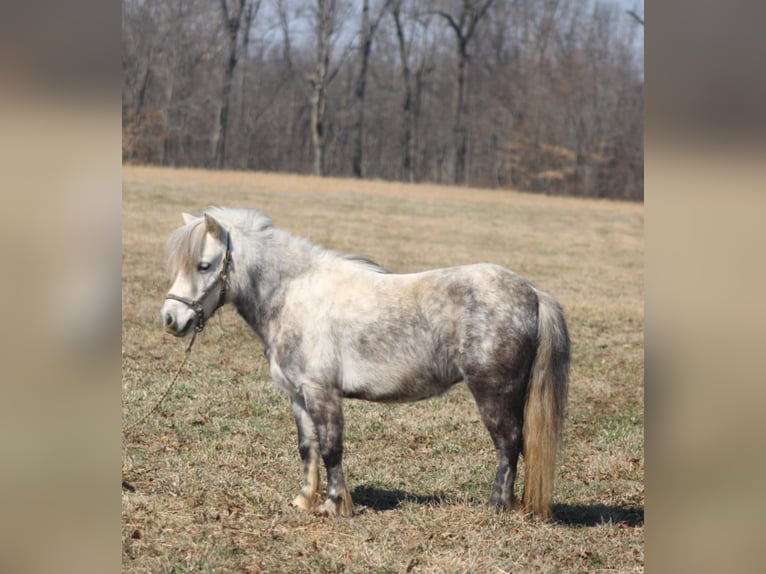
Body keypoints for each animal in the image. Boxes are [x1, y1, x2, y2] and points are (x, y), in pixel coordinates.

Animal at [160, 208, 568, 520]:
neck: (293, 294)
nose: (170, 318)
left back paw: (497, 507)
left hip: (493, 392)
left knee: (508, 443)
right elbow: (307, 448)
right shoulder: (297, 395)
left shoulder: (322, 393)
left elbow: (331, 449)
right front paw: (304, 500)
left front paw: (333, 506)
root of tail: (534, 293)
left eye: (204, 265)